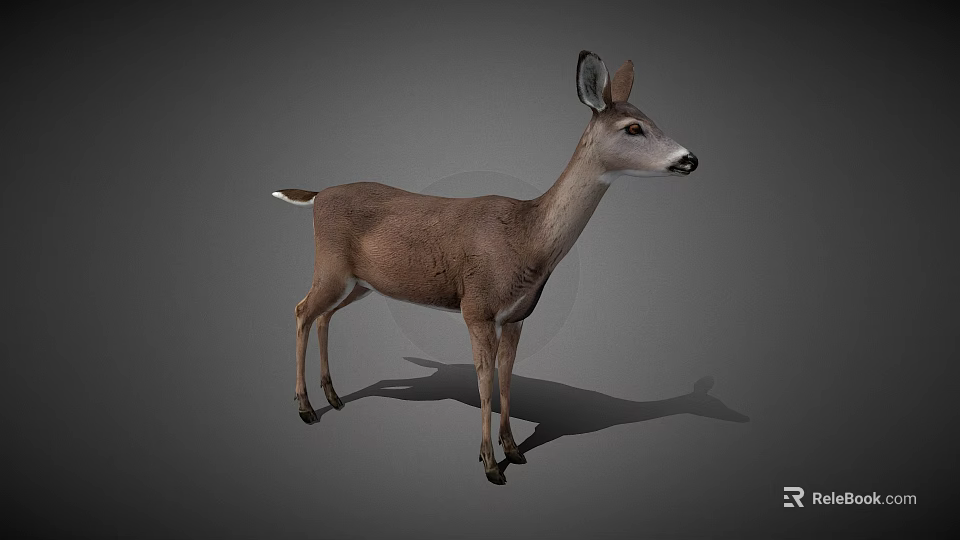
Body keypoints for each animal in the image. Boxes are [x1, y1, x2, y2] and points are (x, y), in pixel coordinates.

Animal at [272, 51, 699, 485]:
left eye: (650, 118)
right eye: (634, 127)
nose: (690, 159)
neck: (527, 239)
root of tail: (318, 195)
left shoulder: (516, 316)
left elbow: (506, 378)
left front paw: (513, 450)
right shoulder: (476, 308)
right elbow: (484, 382)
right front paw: (490, 464)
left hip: (359, 283)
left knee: (324, 316)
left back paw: (334, 397)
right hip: (331, 267)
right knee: (301, 310)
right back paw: (306, 408)